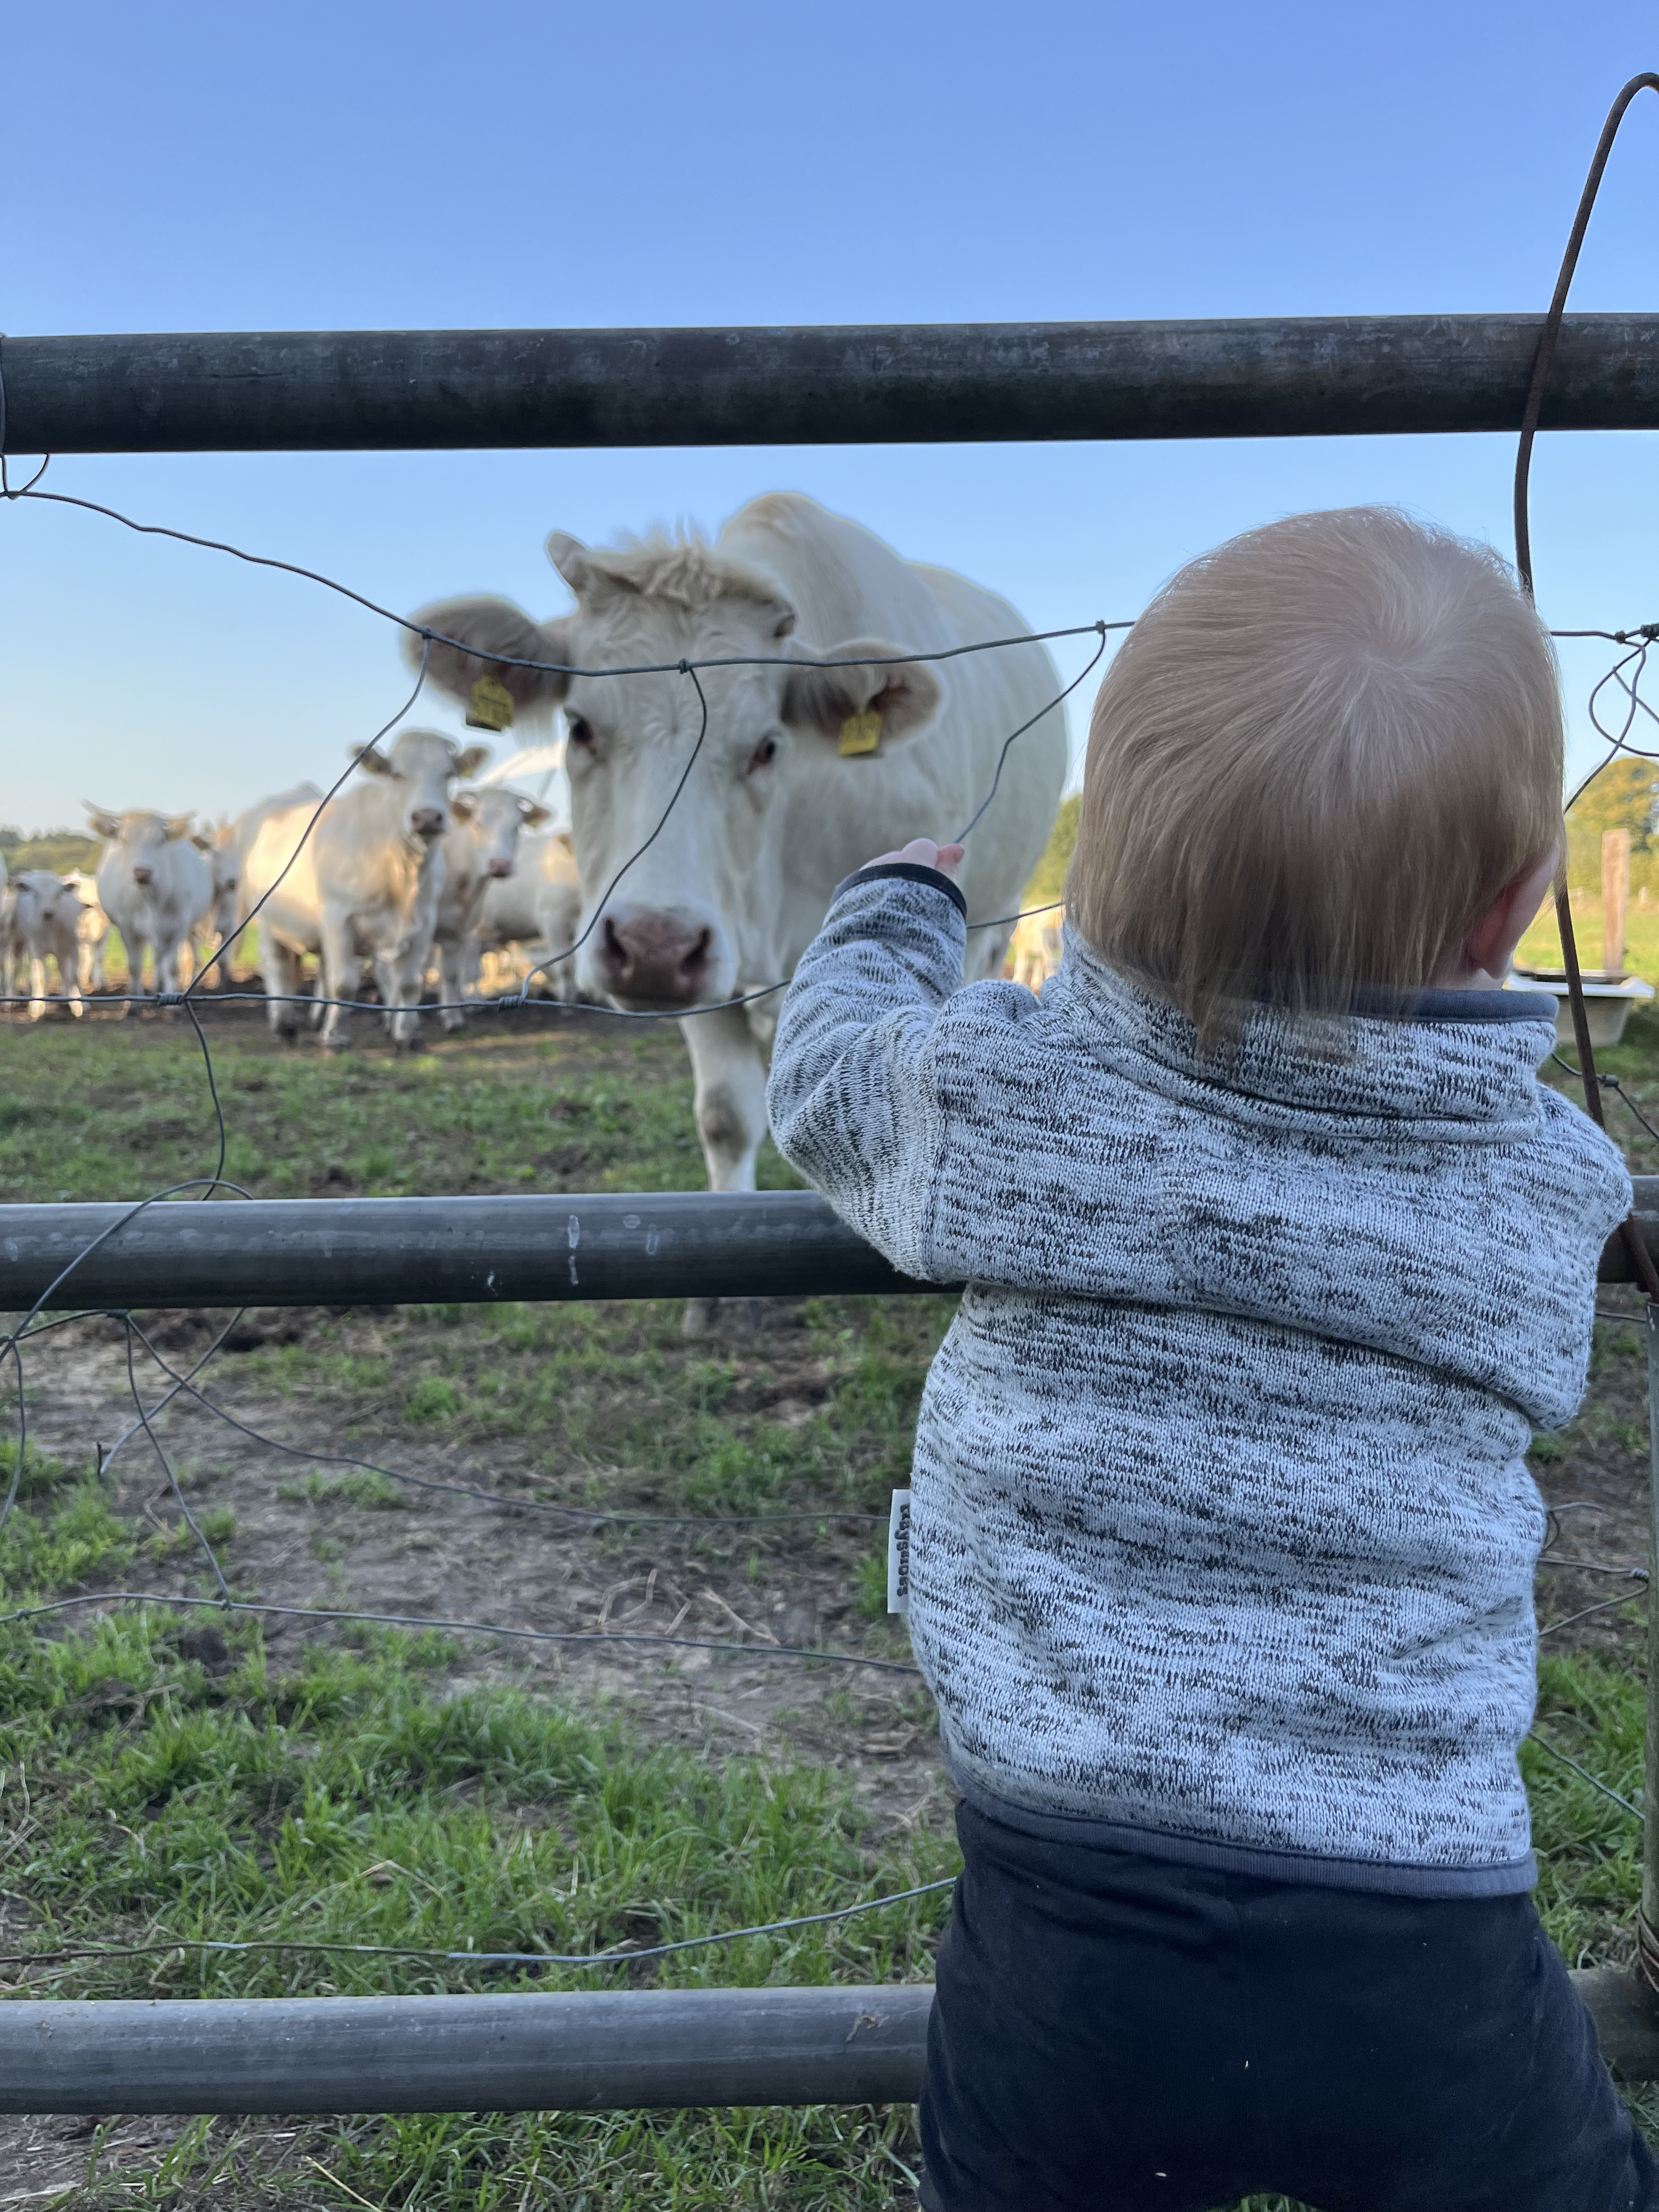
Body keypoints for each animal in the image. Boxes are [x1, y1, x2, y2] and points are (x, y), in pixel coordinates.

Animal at [2, 871, 87, 1019]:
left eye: (58, 895)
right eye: (35, 895)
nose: (48, 913)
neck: (51, 928)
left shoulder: (72, 946)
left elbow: (73, 976)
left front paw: (78, 1005)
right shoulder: (35, 948)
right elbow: (40, 976)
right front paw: (38, 1007)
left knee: (63, 972)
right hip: (15, 940)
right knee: (13, 967)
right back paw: (11, 1000)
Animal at [86, 810, 214, 1010]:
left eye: (161, 841)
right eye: (123, 840)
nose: (142, 873)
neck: (152, 897)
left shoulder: (179, 927)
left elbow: (172, 967)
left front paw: (172, 1005)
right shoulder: (128, 928)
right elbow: (134, 967)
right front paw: (132, 1005)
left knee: (173, 959)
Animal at [237, 731, 486, 1048]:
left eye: (449, 773)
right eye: (396, 774)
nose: (428, 818)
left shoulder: (424, 923)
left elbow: (408, 984)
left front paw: (407, 1034)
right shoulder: (338, 917)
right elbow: (343, 984)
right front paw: (335, 1037)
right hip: (268, 921)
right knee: (276, 966)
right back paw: (284, 1024)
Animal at [431, 787, 550, 1030]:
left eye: (517, 826)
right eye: (477, 823)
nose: (500, 865)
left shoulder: (461, 930)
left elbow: (456, 972)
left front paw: (455, 1011)